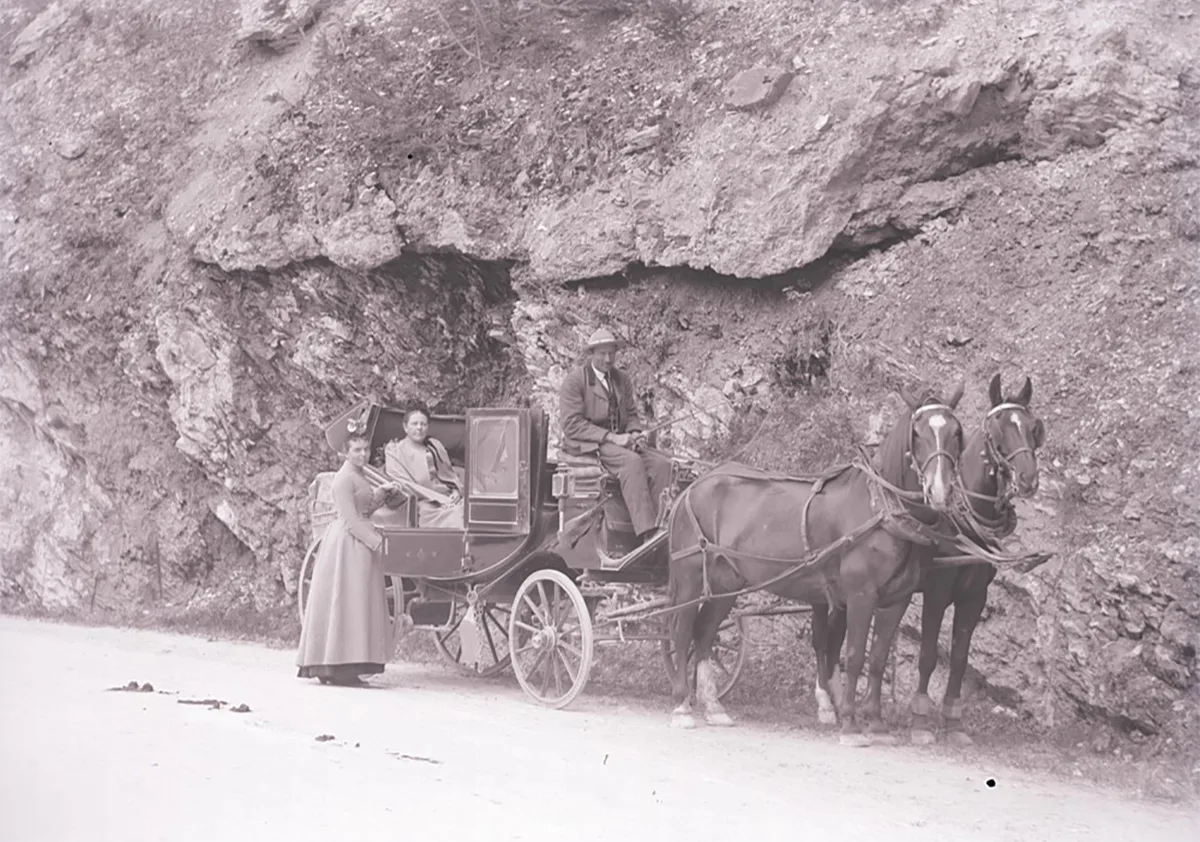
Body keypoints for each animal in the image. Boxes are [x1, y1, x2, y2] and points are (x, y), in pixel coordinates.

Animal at [667, 383, 964, 743]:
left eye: (956, 432)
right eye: (917, 434)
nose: (939, 491)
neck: (881, 508)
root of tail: (693, 487)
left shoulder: (897, 600)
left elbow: (877, 660)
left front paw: (876, 723)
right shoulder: (861, 595)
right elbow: (854, 656)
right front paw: (849, 722)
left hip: (726, 583)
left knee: (704, 633)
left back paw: (713, 707)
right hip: (691, 579)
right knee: (682, 632)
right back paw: (682, 705)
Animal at [811, 376, 1046, 743]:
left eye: (1033, 427)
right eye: (998, 429)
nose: (1027, 479)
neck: (963, 516)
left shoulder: (974, 598)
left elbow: (960, 657)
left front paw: (953, 721)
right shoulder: (937, 591)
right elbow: (928, 654)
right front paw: (921, 721)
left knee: (835, 637)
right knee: (822, 637)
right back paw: (824, 701)